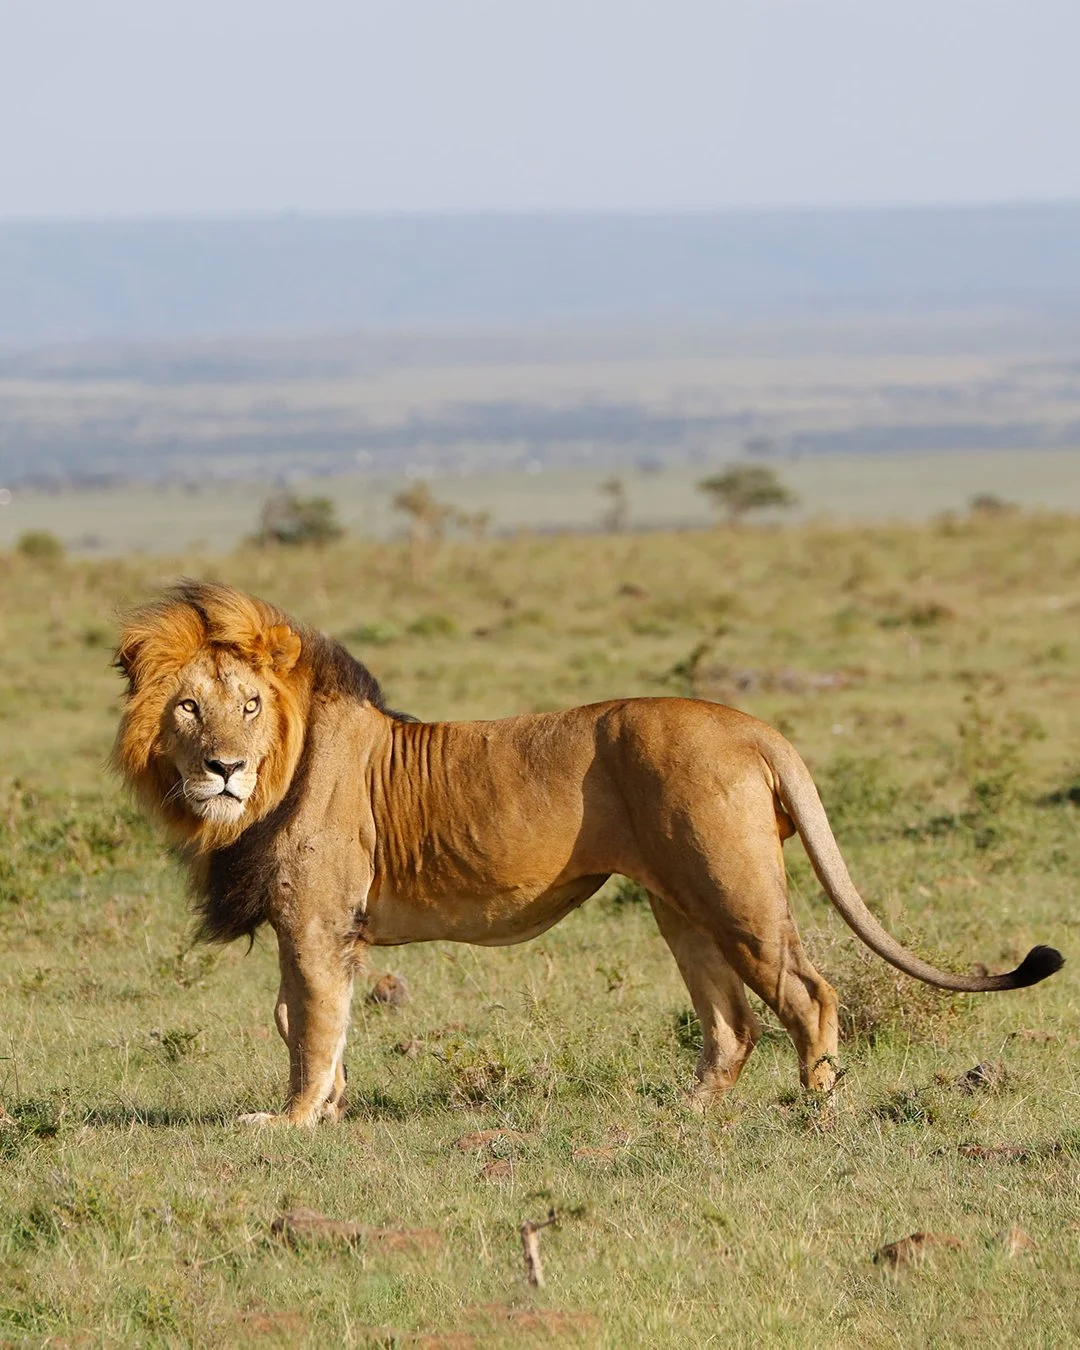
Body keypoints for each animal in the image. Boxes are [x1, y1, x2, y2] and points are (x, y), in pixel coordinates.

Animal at [112, 581, 1063, 1126]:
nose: (224, 768)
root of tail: (752, 727)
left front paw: (293, 1121)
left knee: (809, 993)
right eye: (189, 708)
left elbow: (308, 1024)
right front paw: (332, 1111)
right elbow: (304, 1018)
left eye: (248, 706)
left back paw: (820, 1108)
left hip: (736, 891)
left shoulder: (315, 919)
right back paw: (687, 1113)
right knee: (732, 1023)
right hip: (680, 904)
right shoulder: (309, 926)